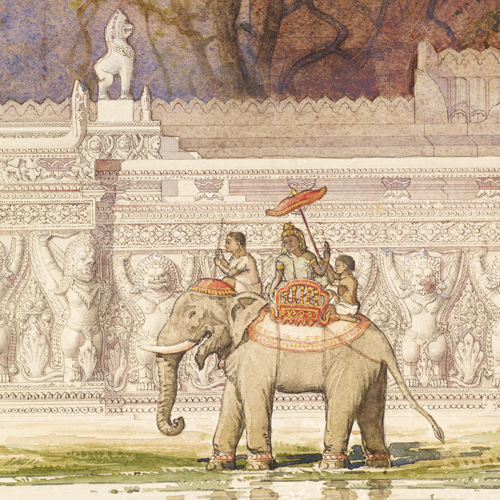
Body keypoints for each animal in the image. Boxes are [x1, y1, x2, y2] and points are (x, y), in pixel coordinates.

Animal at [141, 278, 444, 471]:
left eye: (192, 314)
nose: (179, 420)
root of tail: (383, 343)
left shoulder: (256, 355)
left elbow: (254, 397)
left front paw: (259, 466)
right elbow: (232, 401)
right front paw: (218, 466)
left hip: (349, 364)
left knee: (342, 403)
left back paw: (331, 465)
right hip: (373, 369)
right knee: (372, 409)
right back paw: (378, 463)